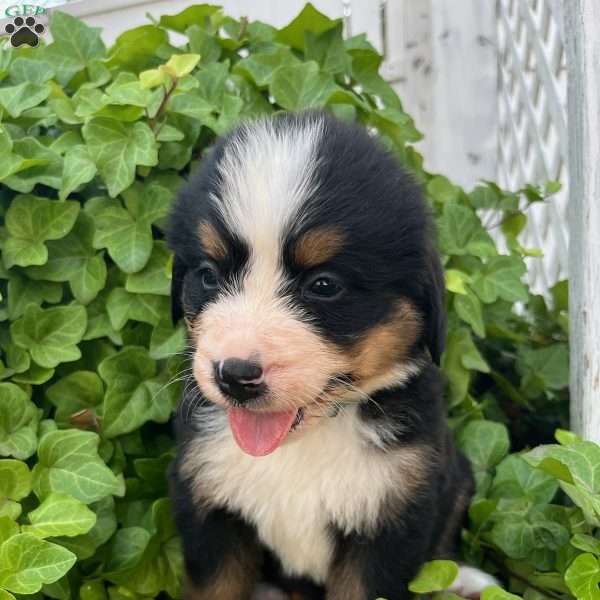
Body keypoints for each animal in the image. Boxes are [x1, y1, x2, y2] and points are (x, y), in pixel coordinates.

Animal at [166, 110, 494, 596]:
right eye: (208, 275)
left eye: (324, 285)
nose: (235, 375)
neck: (304, 447)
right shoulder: (209, 508)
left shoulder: (392, 518)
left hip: (458, 480)